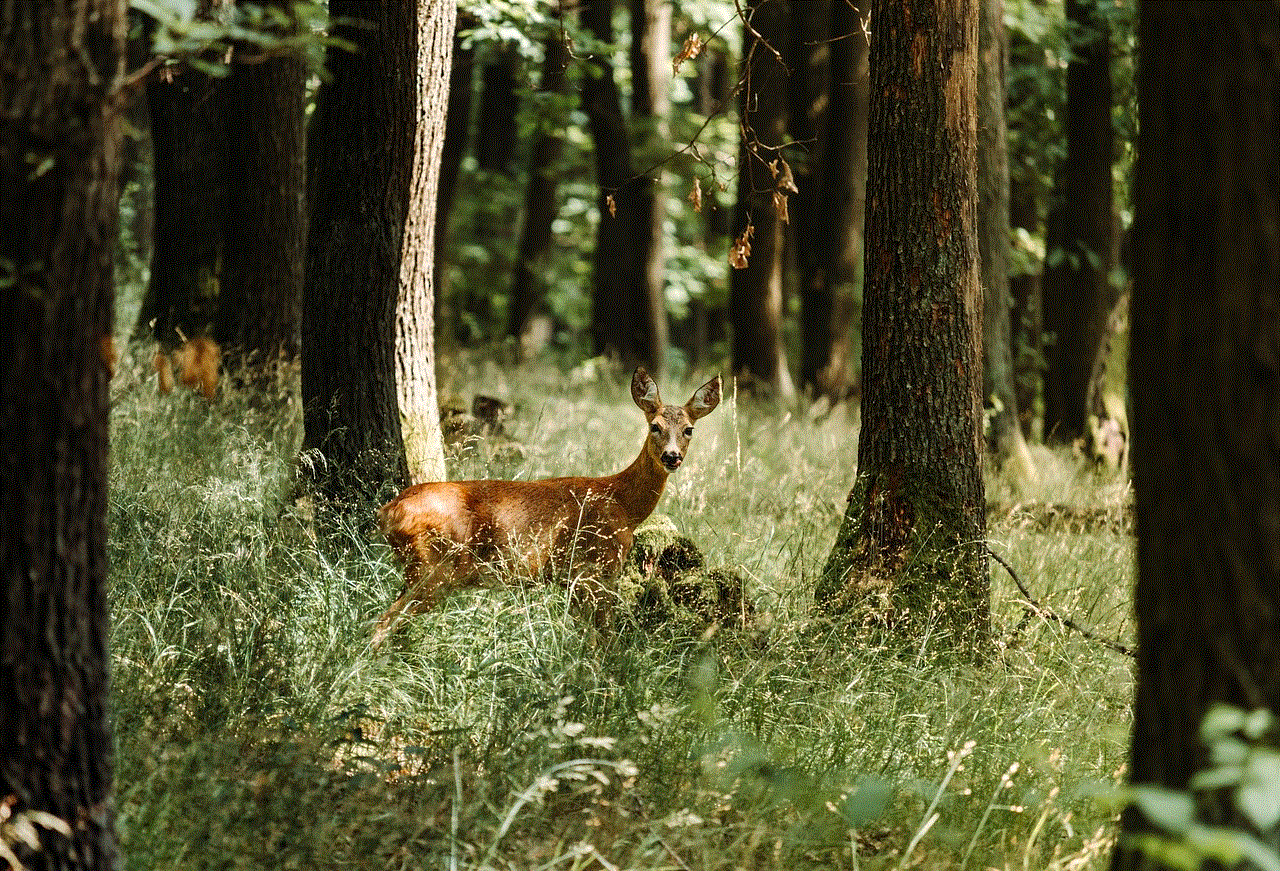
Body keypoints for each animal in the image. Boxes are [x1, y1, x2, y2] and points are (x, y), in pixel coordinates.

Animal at [373, 363, 727, 643]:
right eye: (655, 426)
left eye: (689, 429)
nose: (672, 456)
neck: (624, 504)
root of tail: (388, 512)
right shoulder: (592, 570)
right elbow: (603, 639)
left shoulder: (573, 579)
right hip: (434, 567)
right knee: (383, 622)